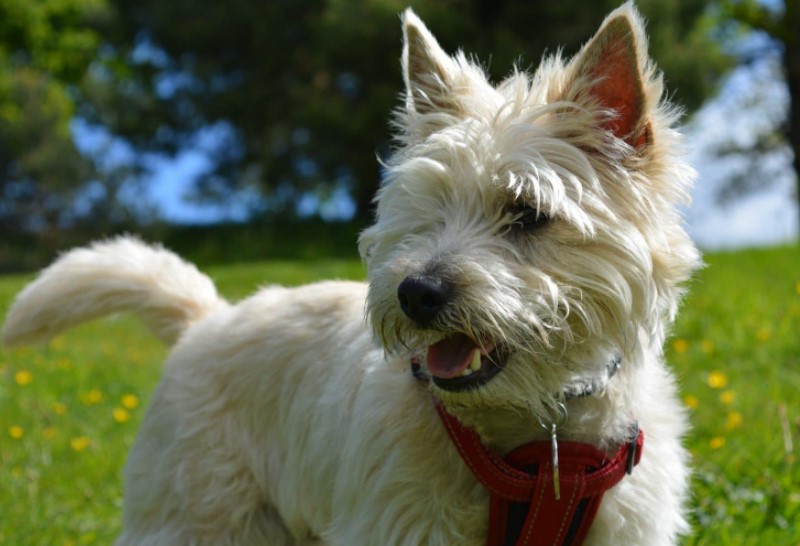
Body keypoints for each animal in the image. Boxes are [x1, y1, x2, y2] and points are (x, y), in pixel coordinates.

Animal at [1, 2, 700, 540]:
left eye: (527, 213)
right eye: (425, 209)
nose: (417, 293)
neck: (539, 443)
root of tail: (208, 319)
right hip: (199, 516)